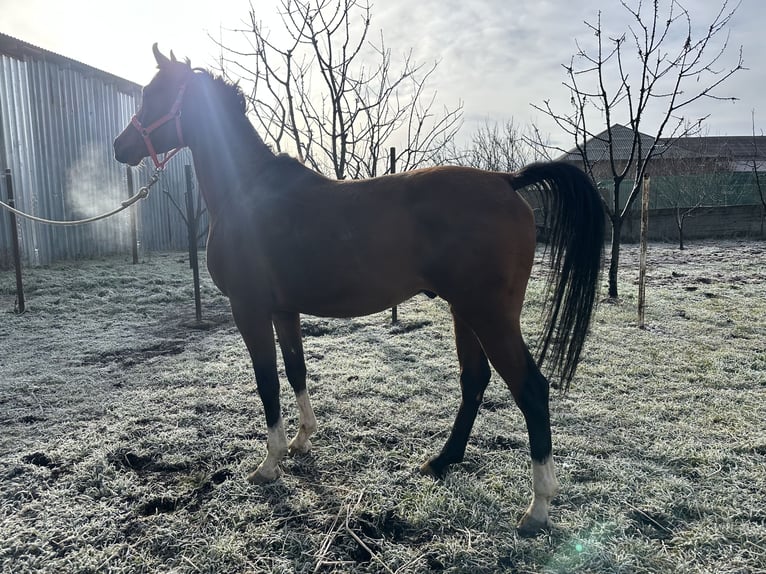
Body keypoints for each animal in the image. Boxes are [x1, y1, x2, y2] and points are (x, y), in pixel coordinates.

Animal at [114, 44, 604, 535]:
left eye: (154, 94)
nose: (121, 147)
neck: (248, 191)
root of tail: (506, 179)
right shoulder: (284, 310)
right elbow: (296, 370)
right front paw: (302, 441)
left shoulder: (249, 308)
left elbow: (267, 381)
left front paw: (270, 463)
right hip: (464, 312)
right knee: (475, 380)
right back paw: (442, 462)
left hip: (490, 316)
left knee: (531, 390)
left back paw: (538, 507)